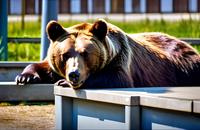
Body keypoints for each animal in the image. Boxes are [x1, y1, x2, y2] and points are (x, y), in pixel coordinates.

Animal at [15, 19, 200, 88]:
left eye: (85, 53)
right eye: (65, 54)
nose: (74, 74)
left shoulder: (120, 58)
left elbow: (116, 78)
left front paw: (63, 82)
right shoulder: (54, 63)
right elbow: (44, 66)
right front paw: (24, 77)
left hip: (182, 64)